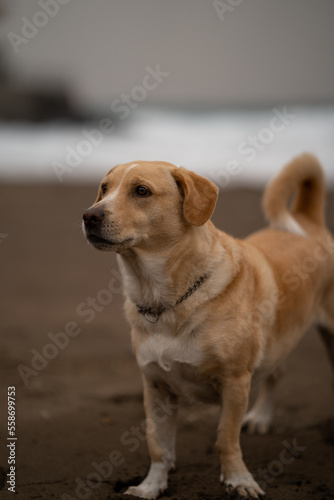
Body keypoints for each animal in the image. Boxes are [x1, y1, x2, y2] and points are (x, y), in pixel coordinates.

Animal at [82, 154, 334, 498]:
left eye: (141, 191)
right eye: (104, 188)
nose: (89, 216)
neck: (165, 300)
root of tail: (306, 220)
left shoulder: (235, 382)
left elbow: (225, 438)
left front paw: (239, 479)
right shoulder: (155, 387)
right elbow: (158, 444)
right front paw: (151, 485)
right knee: (276, 370)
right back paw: (262, 417)